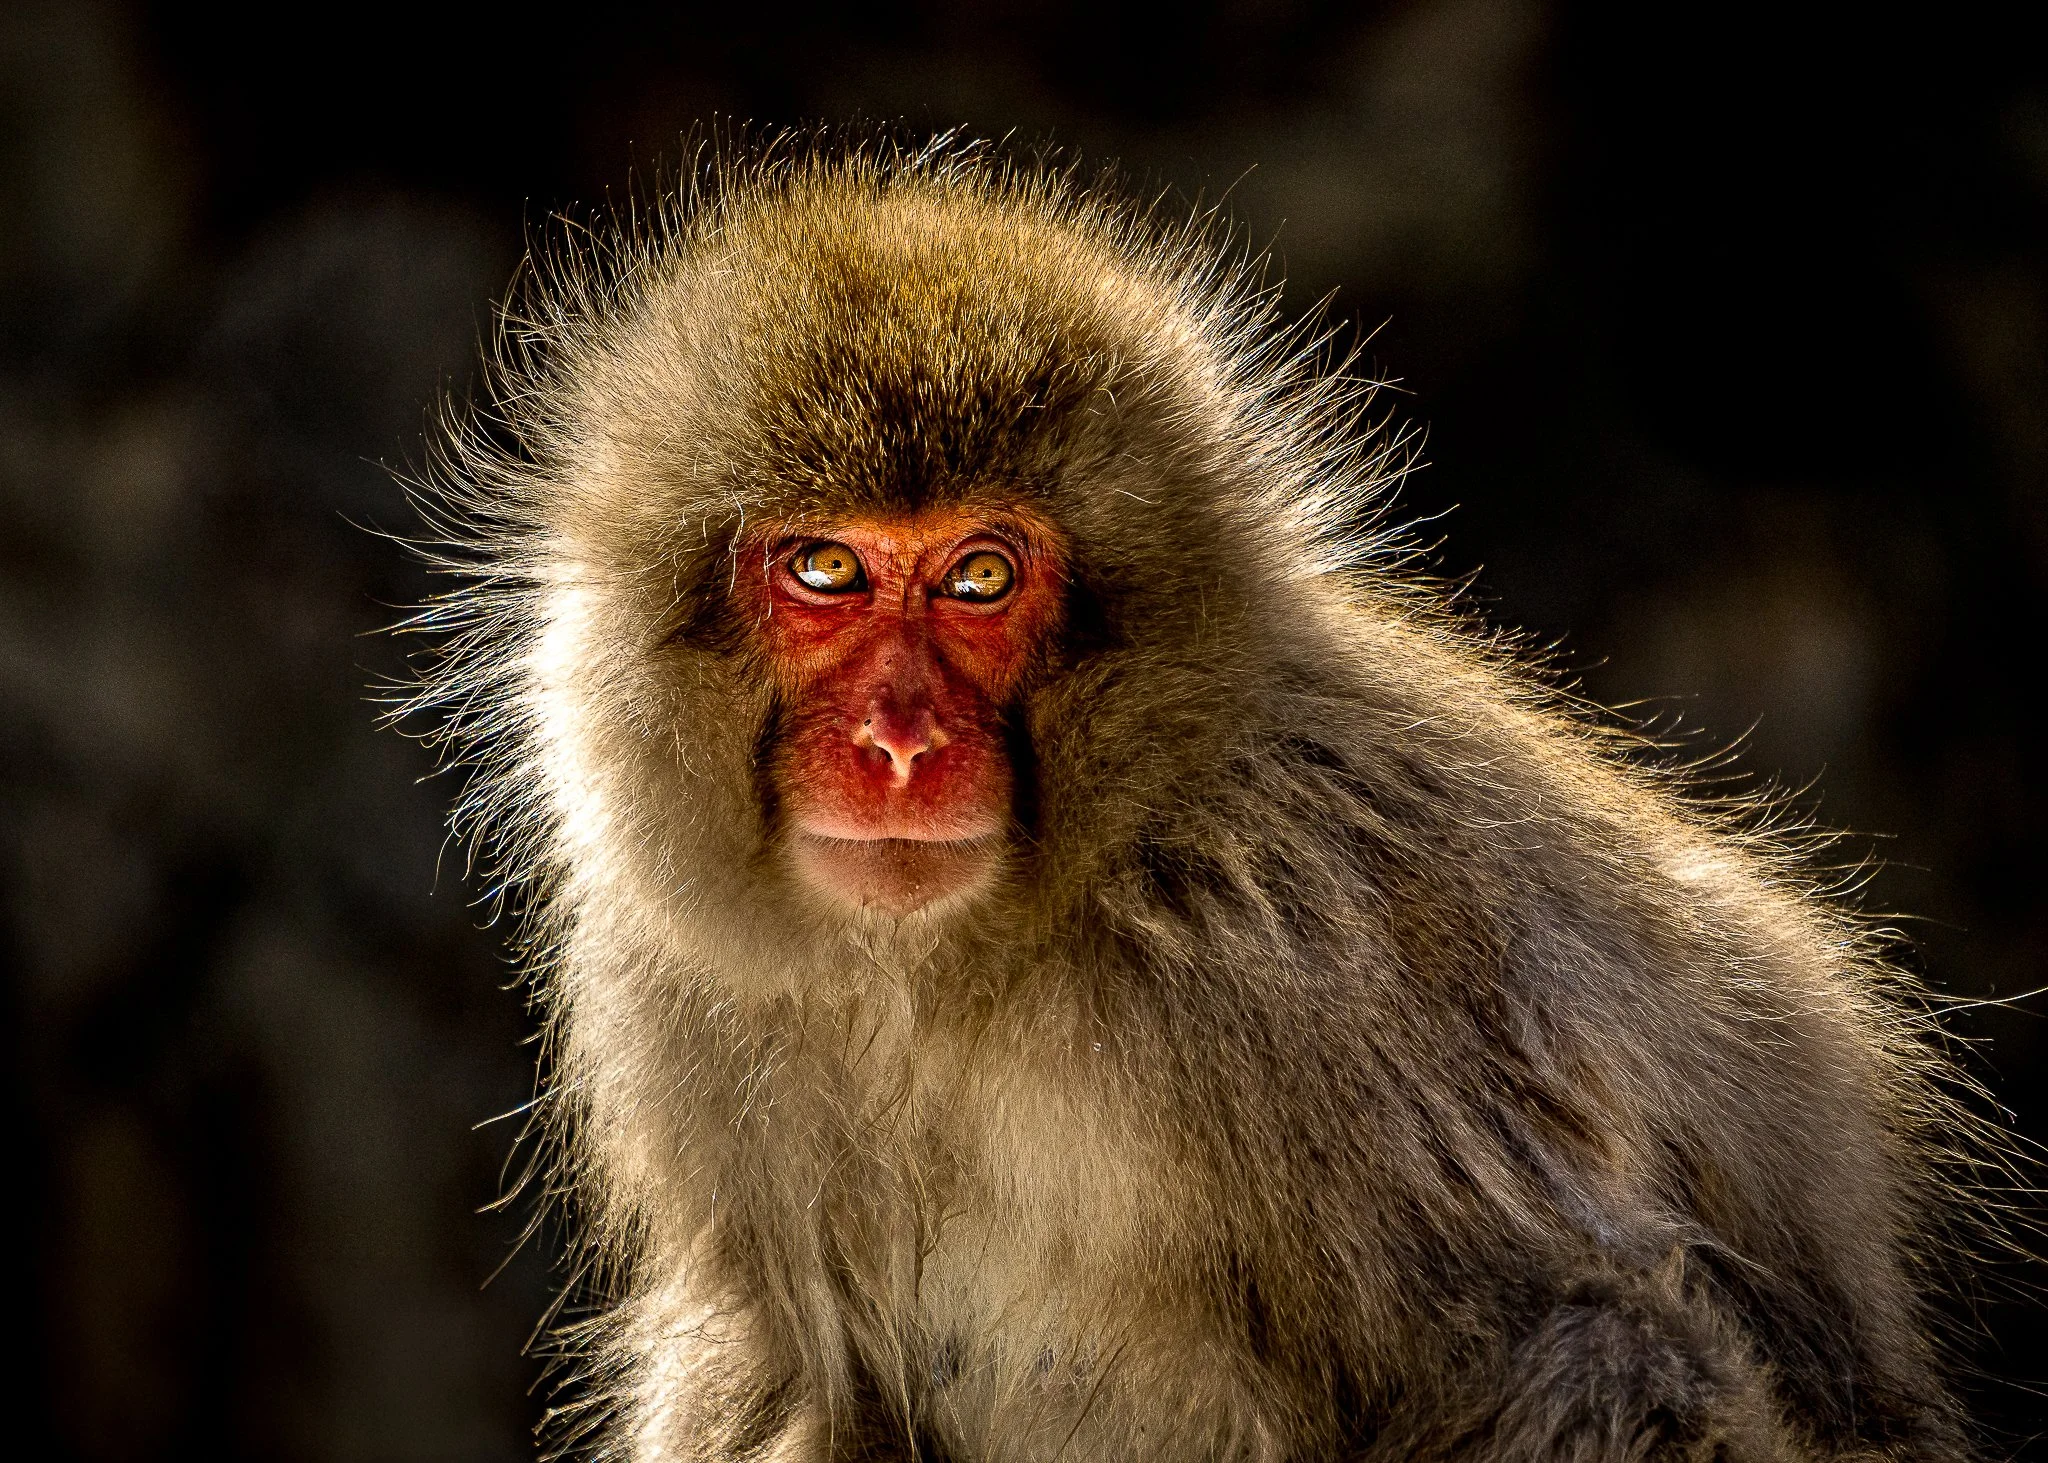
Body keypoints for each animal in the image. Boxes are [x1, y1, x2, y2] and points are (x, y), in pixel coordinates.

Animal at [401, 137, 1975, 1463]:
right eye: (826, 568)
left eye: (981, 575)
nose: (899, 743)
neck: (964, 969)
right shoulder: (679, 984)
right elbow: (794, 1375)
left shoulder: (1296, 967)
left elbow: (1607, 1340)